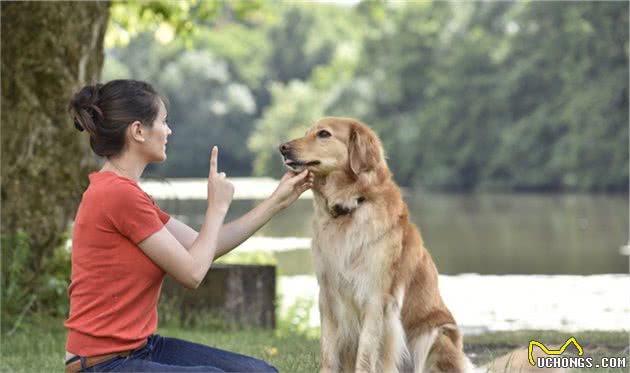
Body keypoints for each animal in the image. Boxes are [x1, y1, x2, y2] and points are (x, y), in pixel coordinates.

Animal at [282, 117, 474, 372]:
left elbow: (366, 352)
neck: (351, 206)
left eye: (324, 134)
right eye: (307, 133)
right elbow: (328, 352)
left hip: (434, 335)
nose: (282, 148)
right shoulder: (328, 295)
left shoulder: (375, 298)